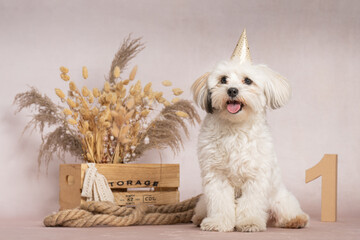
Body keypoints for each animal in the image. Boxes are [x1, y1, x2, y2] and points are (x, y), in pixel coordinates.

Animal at [191, 29, 310, 232]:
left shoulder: (255, 177)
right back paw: (199, 218)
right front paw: (218, 222)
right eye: (223, 80)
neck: (235, 128)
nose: (232, 90)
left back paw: (296, 220)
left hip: (280, 200)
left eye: (247, 81)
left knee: (285, 211)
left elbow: (251, 203)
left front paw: (250, 222)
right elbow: (220, 202)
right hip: (203, 201)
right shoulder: (216, 176)